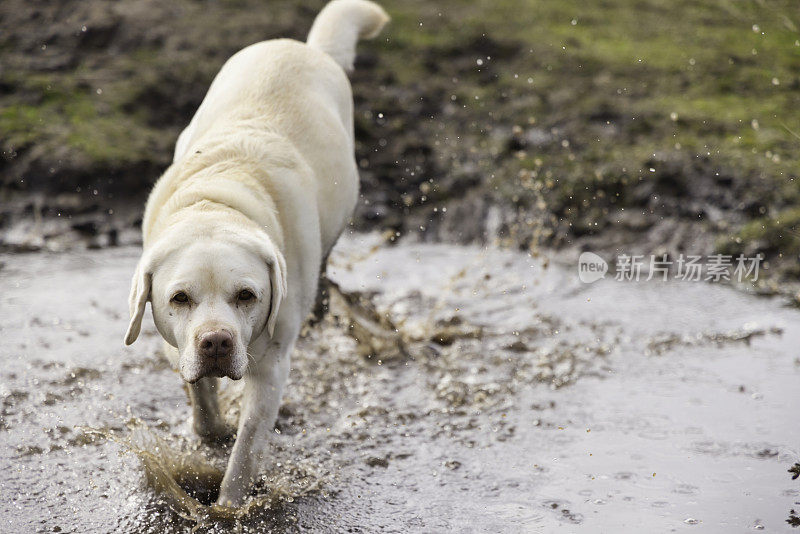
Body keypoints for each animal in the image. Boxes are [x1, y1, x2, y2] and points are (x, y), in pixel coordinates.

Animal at [122, 0, 390, 508]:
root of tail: (304, 48)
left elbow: (247, 446)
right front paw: (208, 430)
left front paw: (229, 507)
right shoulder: (175, 343)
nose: (216, 342)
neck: (219, 199)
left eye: (247, 295)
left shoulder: (272, 367)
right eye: (179, 298)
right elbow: (201, 397)